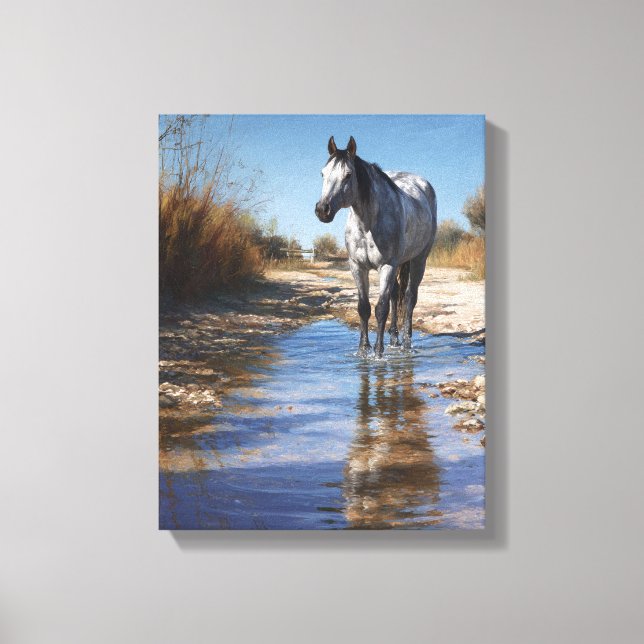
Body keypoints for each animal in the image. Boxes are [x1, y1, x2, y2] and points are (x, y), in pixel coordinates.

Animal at [315, 136, 437, 356]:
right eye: (323, 173)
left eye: (348, 175)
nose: (322, 210)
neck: (367, 225)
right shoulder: (357, 266)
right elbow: (364, 307)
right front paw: (363, 349)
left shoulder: (386, 266)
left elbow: (381, 308)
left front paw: (378, 353)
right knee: (396, 295)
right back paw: (394, 339)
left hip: (419, 260)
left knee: (409, 298)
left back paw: (406, 343)